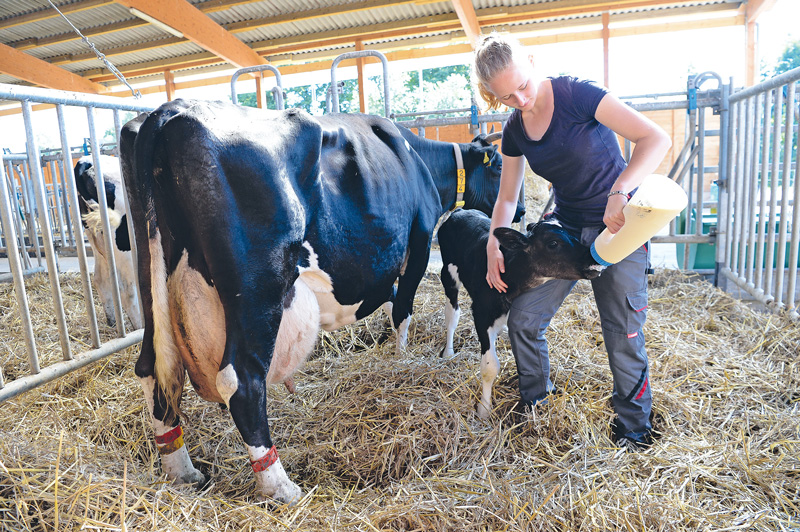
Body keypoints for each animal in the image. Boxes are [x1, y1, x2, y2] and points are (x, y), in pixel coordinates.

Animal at [74, 153, 143, 328]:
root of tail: (86, 161)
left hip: (98, 241)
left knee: (99, 279)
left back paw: (112, 320)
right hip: (126, 245)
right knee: (128, 292)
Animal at [117, 101, 520, 508]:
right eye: (499, 167)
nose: (518, 212)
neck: (419, 161)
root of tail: (170, 112)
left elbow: (391, 302)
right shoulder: (418, 246)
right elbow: (402, 311)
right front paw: (401, 359)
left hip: (153, 279)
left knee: (155, 370)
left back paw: (181, 470)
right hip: (257, 290)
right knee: (240, 380)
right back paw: (280, 485)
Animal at [438, 208, 600, 420]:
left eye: (573, 235)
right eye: (553, 243)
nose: (593, 258)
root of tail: (461, 210)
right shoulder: (481, 314)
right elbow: (490, 366)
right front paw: (484, 409)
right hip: (448, 273)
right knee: (452, 314)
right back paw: (448, 352)